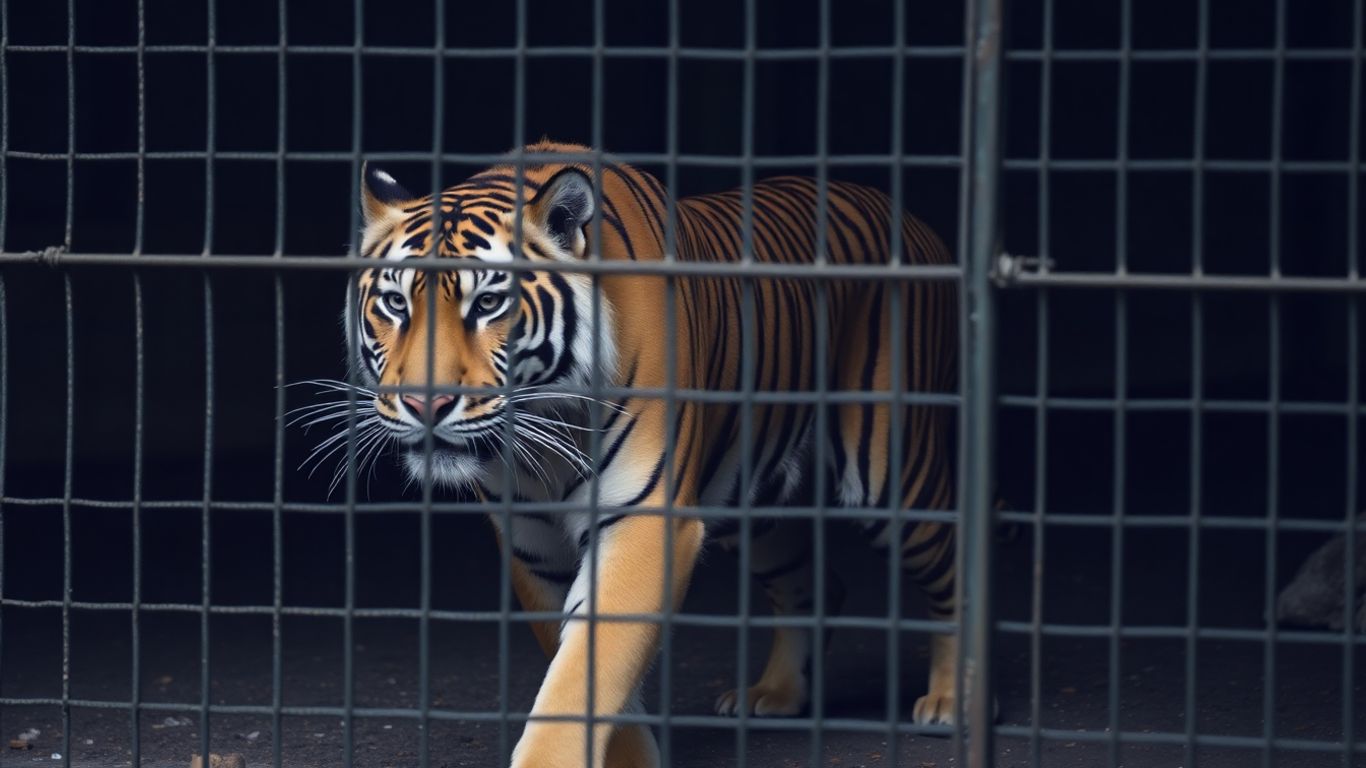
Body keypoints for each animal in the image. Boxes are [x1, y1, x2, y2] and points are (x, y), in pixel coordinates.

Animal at [329, 140, 962, 768]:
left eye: (488, 303)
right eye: (394, 304)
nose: (425, 402)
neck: (548, 433)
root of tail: (908, 216)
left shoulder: (643, 520)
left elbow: (588, 667)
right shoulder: (533, 546)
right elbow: (583, 662)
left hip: (888, 477)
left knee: (955, 559)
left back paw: (950, 702)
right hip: (757, 505)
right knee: (812, 583)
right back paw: (775, 694)